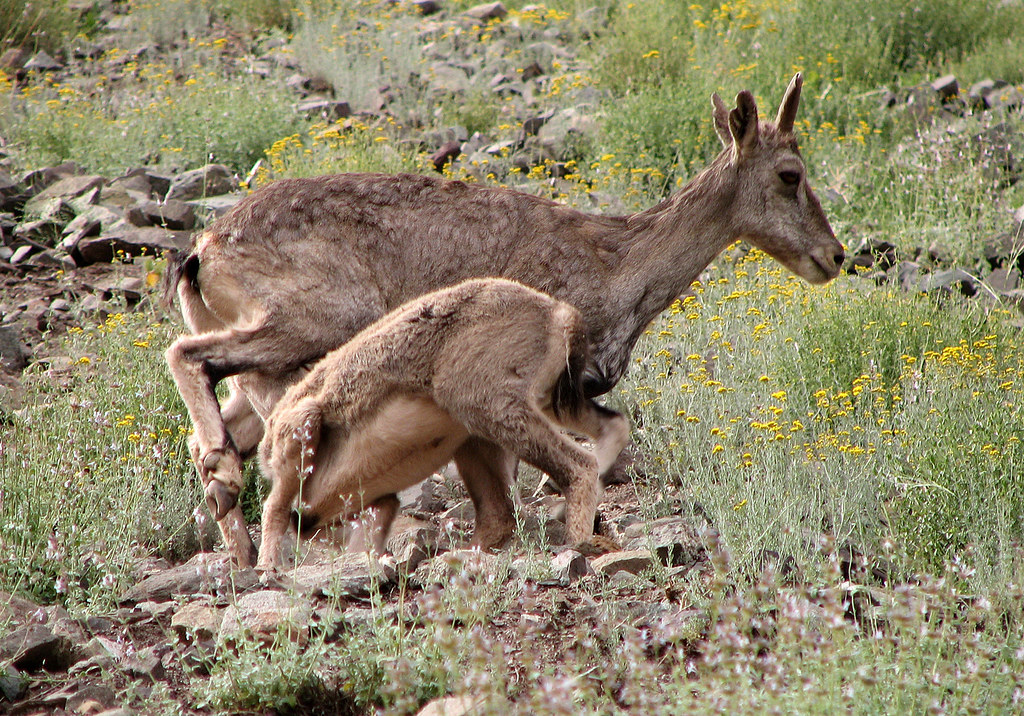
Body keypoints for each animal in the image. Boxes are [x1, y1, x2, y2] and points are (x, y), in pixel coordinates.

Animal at [253, 276, 630, 569]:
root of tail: (557, 314)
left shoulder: (299, 432)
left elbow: (274, 510)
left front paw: (268, 570)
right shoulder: (378, 505)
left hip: (488, 407)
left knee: (578, 466)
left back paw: (578, 543)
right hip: (517, 417)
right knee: (609, 428)